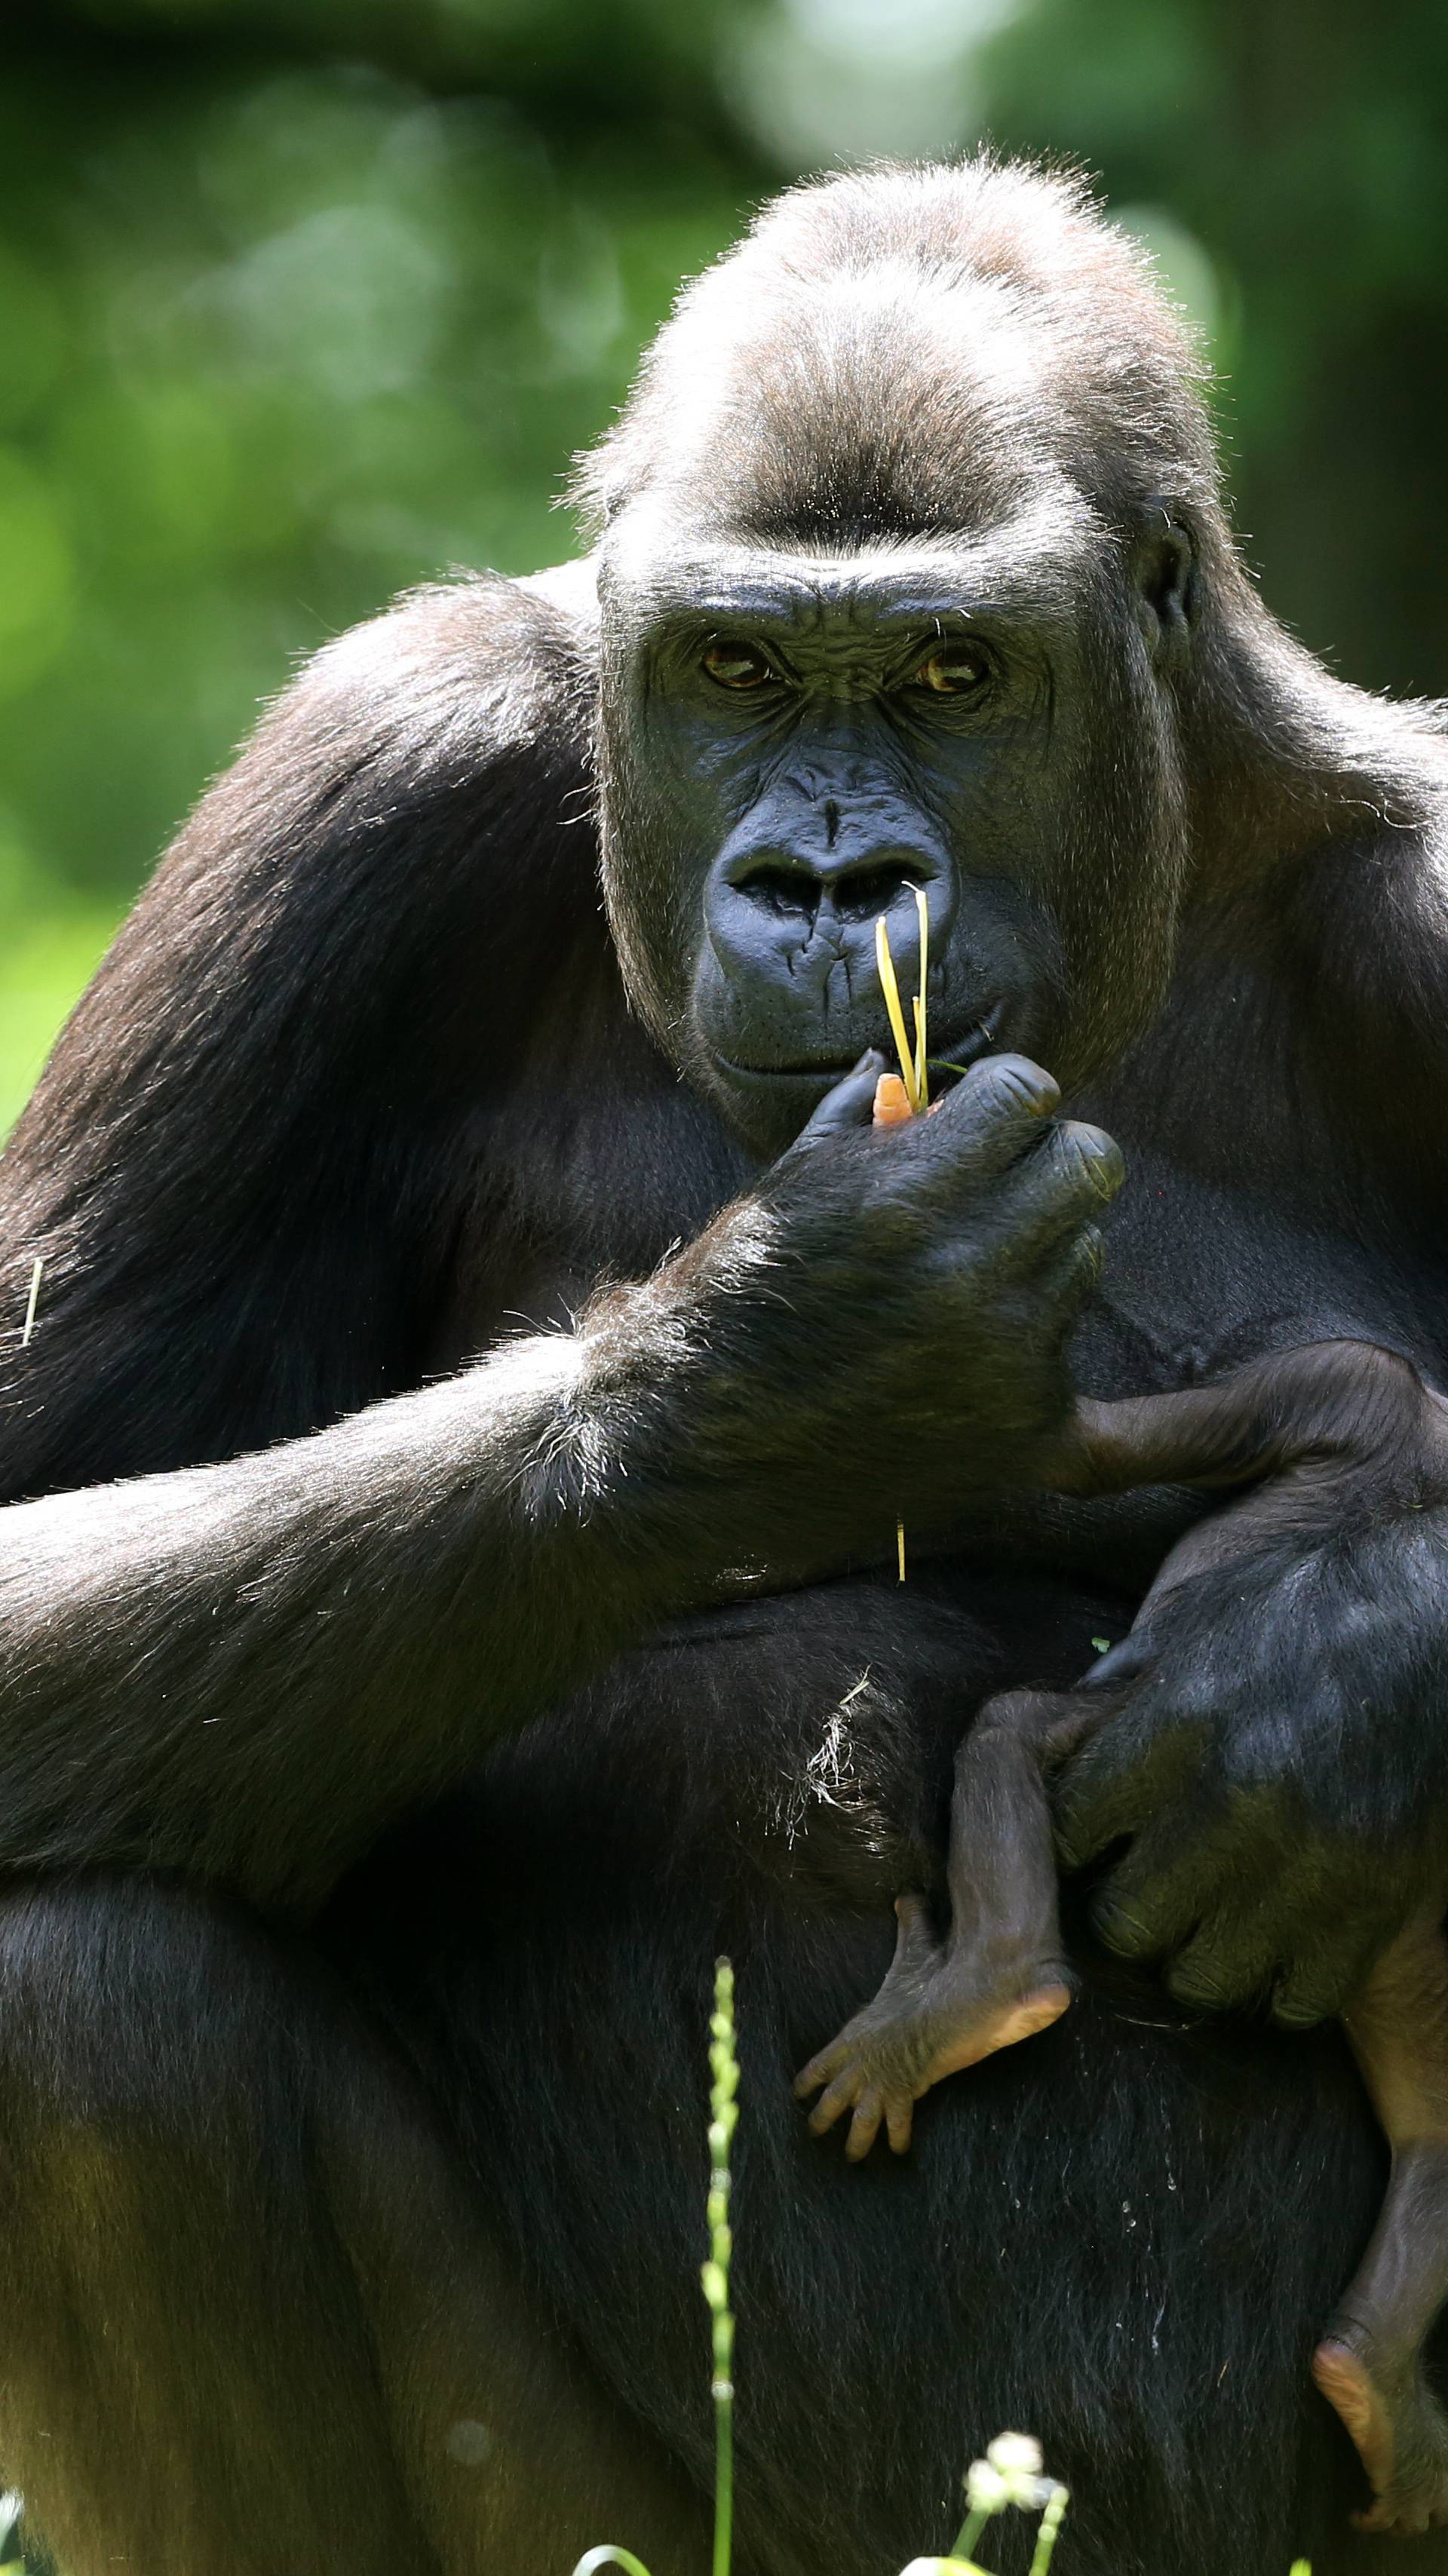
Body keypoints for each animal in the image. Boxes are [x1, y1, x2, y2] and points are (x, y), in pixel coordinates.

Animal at [793, 1339, 1443, 2545]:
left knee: (1009, 1738)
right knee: (1436, 2134)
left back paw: (975, 2001)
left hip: (1127, 1746)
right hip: (1405, 1943)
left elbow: (1085, 1451)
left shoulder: (1332, 1379)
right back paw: (1377, 2374)